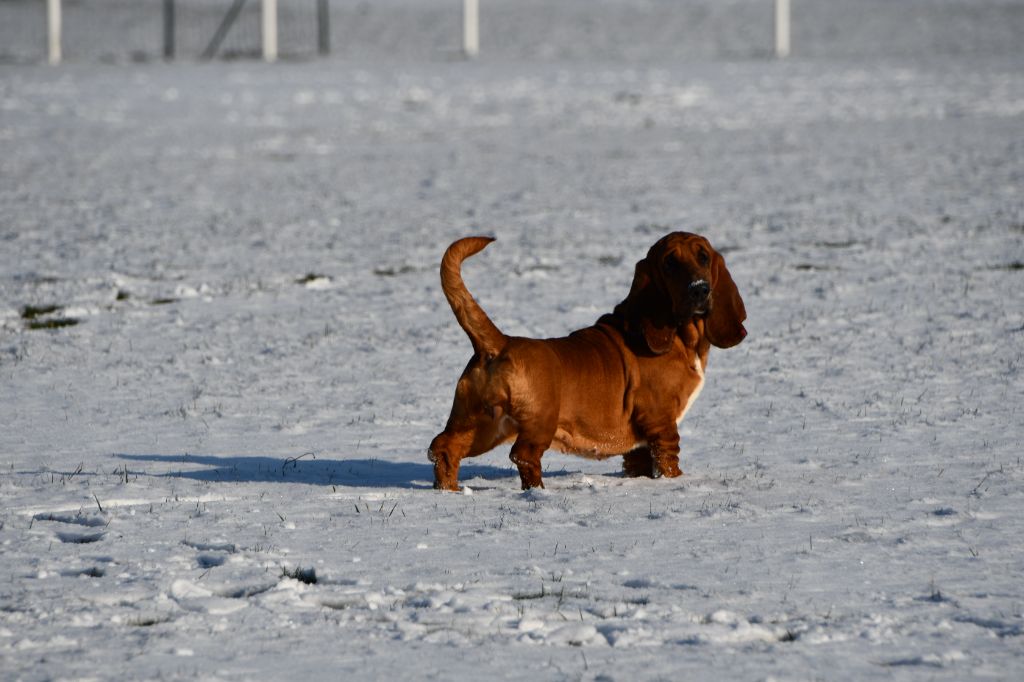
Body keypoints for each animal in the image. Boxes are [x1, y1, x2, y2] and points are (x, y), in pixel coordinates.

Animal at [428, 233, 749, 489]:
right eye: (670, 263)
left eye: (703, 256)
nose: (699, 289)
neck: (683, 336)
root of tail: (501, 342)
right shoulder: (661, 424)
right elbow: (669, 462)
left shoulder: (639, 444)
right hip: (537, 422)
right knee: (524, 456)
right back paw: (537, 492)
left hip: (481, 425)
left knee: (444, 448)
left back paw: (449, 490)